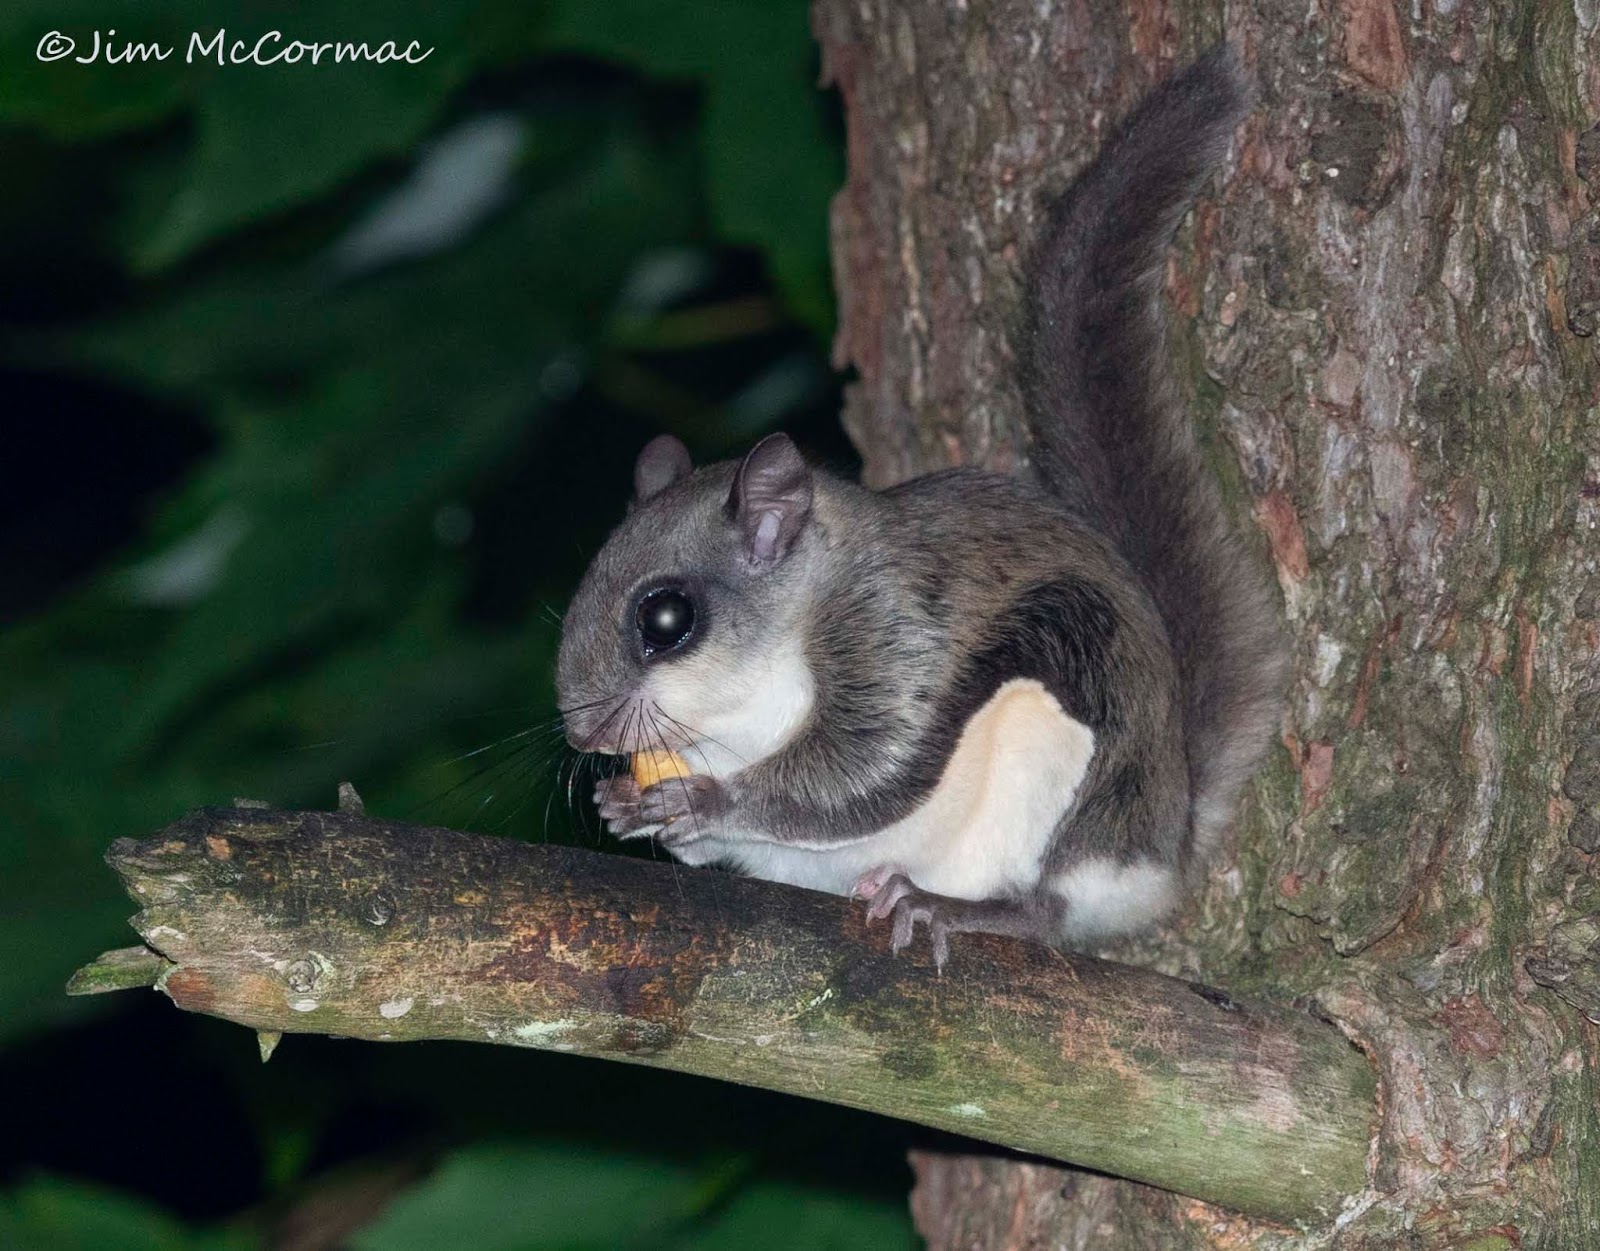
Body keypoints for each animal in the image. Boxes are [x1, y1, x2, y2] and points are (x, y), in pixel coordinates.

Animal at [556, 48, 1286, 966]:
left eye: (665, 620)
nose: (582, 734)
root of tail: (1163, 839)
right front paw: (628, 807)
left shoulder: (893, 628)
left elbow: (863, 766)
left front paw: (704, 799)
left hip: (1065, 726)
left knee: (1049, 906)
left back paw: (956, 906)